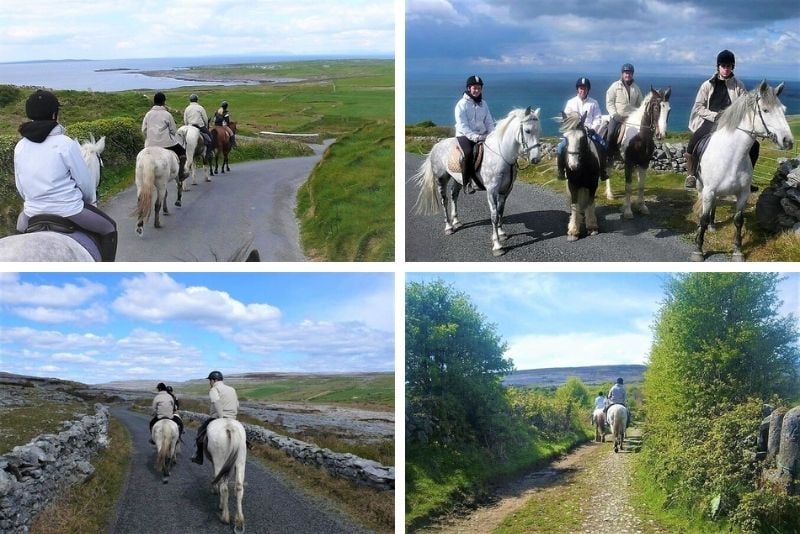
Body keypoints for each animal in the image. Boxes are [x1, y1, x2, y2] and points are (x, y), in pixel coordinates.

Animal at [412, 107, 544, 258]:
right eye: (527, 131)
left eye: (539, 130)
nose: (536, 159)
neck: (501, 155)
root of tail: (436, 146)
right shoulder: (491, 190)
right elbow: (494, 215)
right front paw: (497, 245)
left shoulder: (506, 190)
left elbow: (500, 211)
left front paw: (501, 233)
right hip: (441, 179)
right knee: (444, 201)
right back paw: (449, 227)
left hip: (458, 180)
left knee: (454, 196)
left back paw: (456, 221)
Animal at [692, 80, 792, 262]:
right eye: (765, 110)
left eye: (784, 110)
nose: (788, 141)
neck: (731, 156)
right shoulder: (708, 191)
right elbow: (702, 218)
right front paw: (698, 250)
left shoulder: (743, 193)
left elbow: (738, 220)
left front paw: (738, 251)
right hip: (701, 187)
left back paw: (712, 225)